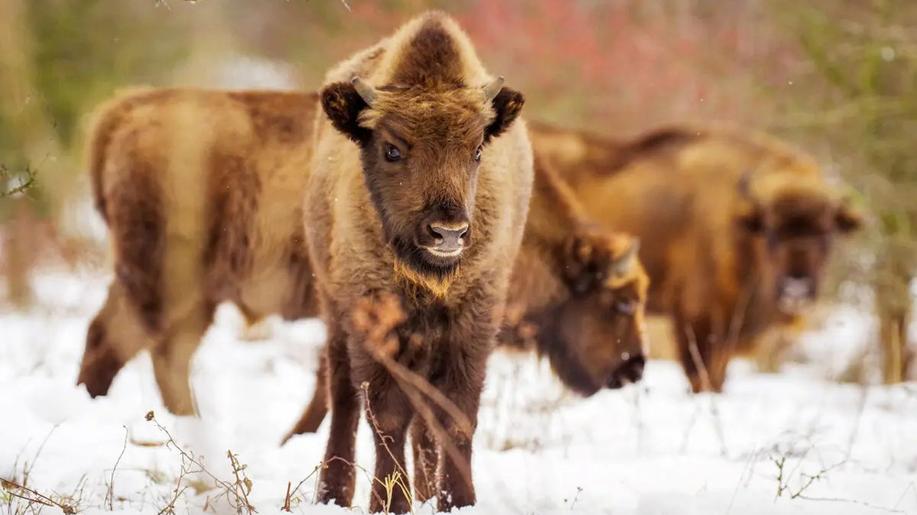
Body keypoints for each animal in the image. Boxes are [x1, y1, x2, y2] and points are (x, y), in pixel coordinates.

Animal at [302, 12, 524, 512]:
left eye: (477, 150)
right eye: (392, 149)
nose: (449, 232)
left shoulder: (474, 318)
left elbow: (456, 414)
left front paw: (457, 500)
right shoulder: (371, 320)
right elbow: (386, 417)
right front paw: (389, 501)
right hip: (333, 306)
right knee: (343, 397)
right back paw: (333, 492)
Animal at [528, 123, 860, 394]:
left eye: (827, 233)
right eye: (769, 231)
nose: (796, 289)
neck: (738, 219)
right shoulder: (699, 320)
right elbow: (703, 377)